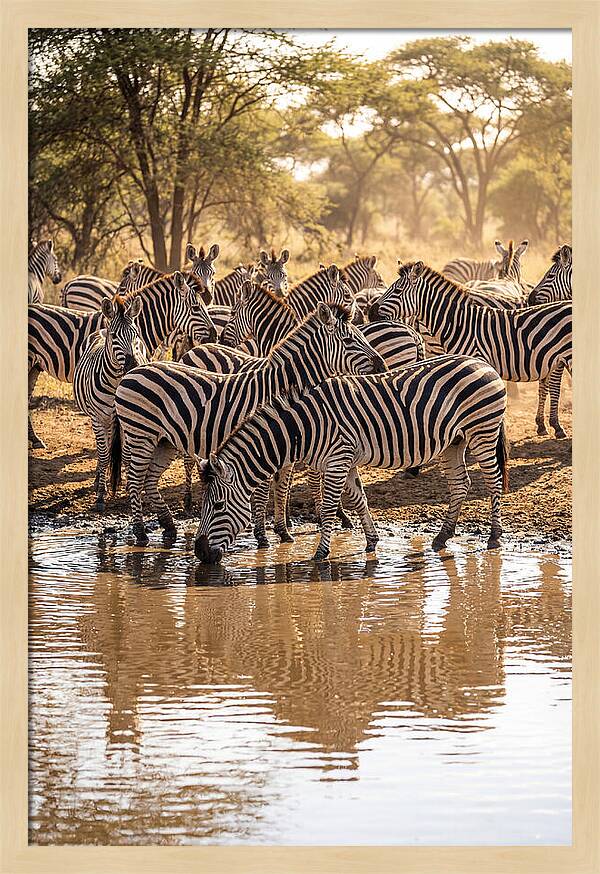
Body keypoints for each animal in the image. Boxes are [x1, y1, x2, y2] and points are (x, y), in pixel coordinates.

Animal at [73, 296, 148, 511]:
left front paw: (131, 488)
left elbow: (127, 455)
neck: (116, 383)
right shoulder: (98, 418)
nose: (133, 366)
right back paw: (99, 480)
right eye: (114, 336)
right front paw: (100, 495)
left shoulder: (130, 420)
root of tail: (101, 330)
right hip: (99, 420)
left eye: (136, 335)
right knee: (102, 451)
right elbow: (104, 454)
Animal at [109, 303, 386, 546]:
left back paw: (168, 526)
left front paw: (283, 532)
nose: (382, 366)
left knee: (149, 480)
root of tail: (132, 372)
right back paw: (141, 533)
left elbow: (282, 488)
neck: (280, 386)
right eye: (349, 341)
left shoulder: (286, 445)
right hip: (141, 435)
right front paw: (262, 537)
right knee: (134, 480)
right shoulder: (265, 442)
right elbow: (263, 493)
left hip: (164, 441)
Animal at [193, 354, 509, 564]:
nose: (199, 552)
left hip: (482, 430)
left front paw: (320, 554)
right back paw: (443, 536)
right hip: (453, 442)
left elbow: (329, 509)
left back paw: (494, 536)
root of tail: (482, 363)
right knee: (461, 484)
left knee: (493, 481)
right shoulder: (345, 461)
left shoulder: (338, 460)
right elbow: (359, 500)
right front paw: (371, 541)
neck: (305, 426)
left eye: (218, 505)